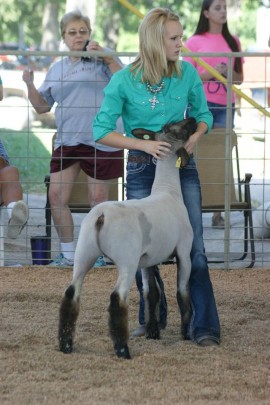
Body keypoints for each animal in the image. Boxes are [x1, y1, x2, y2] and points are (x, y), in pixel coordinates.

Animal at [58, 116, 196, 356]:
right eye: (177, 127)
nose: (195, 119)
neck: (168, 190)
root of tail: (101, 216)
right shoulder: (183, 253)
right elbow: (182, 294)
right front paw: (185, 334)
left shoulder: (148, 259)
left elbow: (151, 294)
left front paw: (153, 333)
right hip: (126, 260)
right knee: (117, 297)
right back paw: (122, 349)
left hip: (84, 252)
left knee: (71, 291)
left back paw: (66, 344)